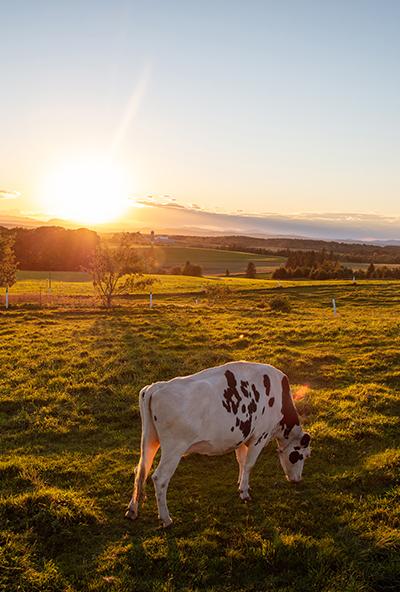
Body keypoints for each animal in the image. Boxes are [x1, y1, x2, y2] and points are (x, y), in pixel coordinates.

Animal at [124, 360, 310, 528]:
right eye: (300, 456)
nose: (298, 480)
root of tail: (156, 387)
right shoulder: (259, 436)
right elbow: (249, 464)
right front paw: (244, 492)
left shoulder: (242, 437)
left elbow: (241, 461)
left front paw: (240, 484)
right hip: (174, 448)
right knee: (160, 478)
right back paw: (166, 519)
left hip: (148, 440)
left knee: (140, 470)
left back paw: (132, 511)